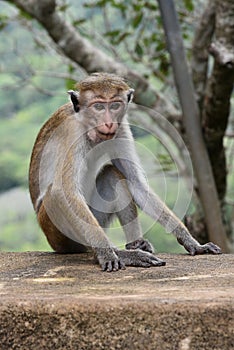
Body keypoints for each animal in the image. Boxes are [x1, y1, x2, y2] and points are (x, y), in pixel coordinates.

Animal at [29, 72, 221, 272]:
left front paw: (191, 241)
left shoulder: (121, 128)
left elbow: (135, 182)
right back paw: (121, 254)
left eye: (114, 105)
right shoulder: (72, 133)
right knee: (55, 197)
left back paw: (135, 245)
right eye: (98, 106)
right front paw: (106, 253)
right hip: (58, 233)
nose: (108, 123)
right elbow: (63, 191)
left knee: (113, 175)